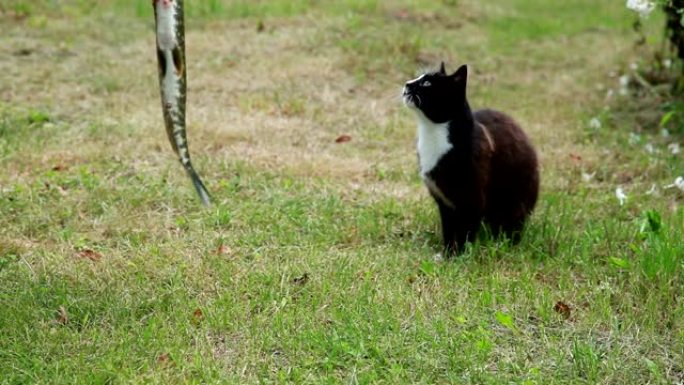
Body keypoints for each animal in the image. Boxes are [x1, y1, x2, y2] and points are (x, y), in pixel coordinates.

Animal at [400, 62, 540, 255]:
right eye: (419, 77)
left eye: (427, 83)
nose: (407, 84)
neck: (433, 132)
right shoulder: (445, 203)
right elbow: (449, 229)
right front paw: (447, 253)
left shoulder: (472, 198)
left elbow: (465, 230)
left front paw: (458, 255)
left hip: (515, 199)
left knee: (512, 224)